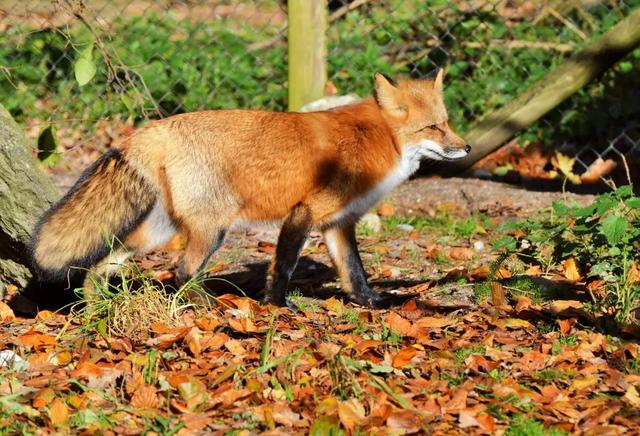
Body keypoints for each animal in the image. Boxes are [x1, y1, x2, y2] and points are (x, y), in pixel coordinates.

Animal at [30, 71, 470, 308]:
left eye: (447, 123)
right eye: (433, 128)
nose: (466, 148)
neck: (376, 139)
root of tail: (152, 129)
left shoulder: (339, 223)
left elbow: (355, 272)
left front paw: (373, 303)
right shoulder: (304, 211)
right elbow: (284, 266)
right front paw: (277, 306)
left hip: (158, 231)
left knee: (104, 263)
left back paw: (97, 304)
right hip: (213, 228)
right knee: (183, 272)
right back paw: (211, 306)